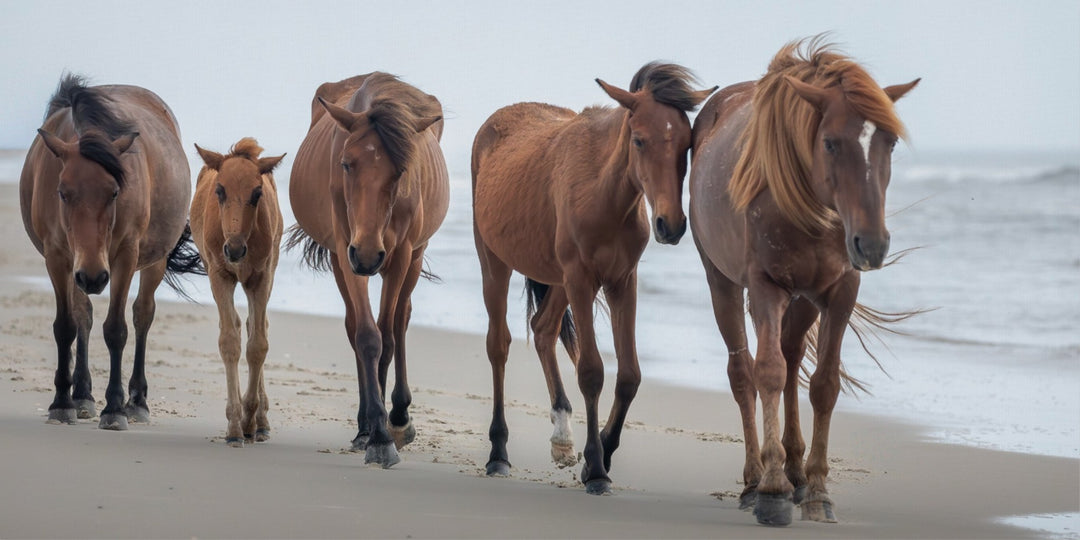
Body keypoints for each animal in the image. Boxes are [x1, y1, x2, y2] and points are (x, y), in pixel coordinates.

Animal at [19, 74, 202, 430]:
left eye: (115, 191)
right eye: (62, 192)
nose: (92, 277)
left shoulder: (124, 257)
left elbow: (116, 330)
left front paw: (115, 409)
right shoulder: (58, 257)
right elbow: (66, 326)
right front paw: (62, 402)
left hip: (153, 261)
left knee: (143, 314)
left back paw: (137, 402)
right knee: (84, 317)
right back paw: (82, 396)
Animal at [190, 138, 285, 447]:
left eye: (257, 193)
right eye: (220, 190)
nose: (234, 250)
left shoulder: (261, 276)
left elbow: (258, 344)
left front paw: (249, 420)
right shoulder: (219, 275)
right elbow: (229, 341)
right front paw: (234, 426)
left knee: (257, 324)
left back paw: (261, 422)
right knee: (234, 325)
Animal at [286, 73, 448, 468]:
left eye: (401, 170)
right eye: (346, 163)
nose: (368, 254)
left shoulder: (400, 254)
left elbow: (387, 336)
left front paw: (389, 429)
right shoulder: (346, 250)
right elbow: (366, 336)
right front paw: (375, 435)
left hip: (414, 256)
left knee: (401, 320)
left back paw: (399, 416)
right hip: (340, 257)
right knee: (354, 326)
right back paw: (364, 427)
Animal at [472, 62, 715, 494]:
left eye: (686, 144)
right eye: (639, 140)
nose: (670, 225)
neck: (603, 193)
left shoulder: (622, 282)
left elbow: (630, 375)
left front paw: (598, 456)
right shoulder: (581, 280)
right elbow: (591, 371)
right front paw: (597, 469)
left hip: (558, 281)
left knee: (543, 329)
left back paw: (562, 439)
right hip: (496, 263)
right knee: (498, 345)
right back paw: (498, 453)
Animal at [688, 37, 919, 525]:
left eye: (889, 142)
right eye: (830, 142)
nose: (872, 244)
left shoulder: (839, 291)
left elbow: (824, 384)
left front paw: (816, 490)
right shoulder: (764, 287)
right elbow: (768, 373)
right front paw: (773, 490)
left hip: (804, 299)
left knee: (794, 358)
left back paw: (795, 471)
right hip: (722, 283)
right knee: (744, 372)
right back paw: (755, 481)